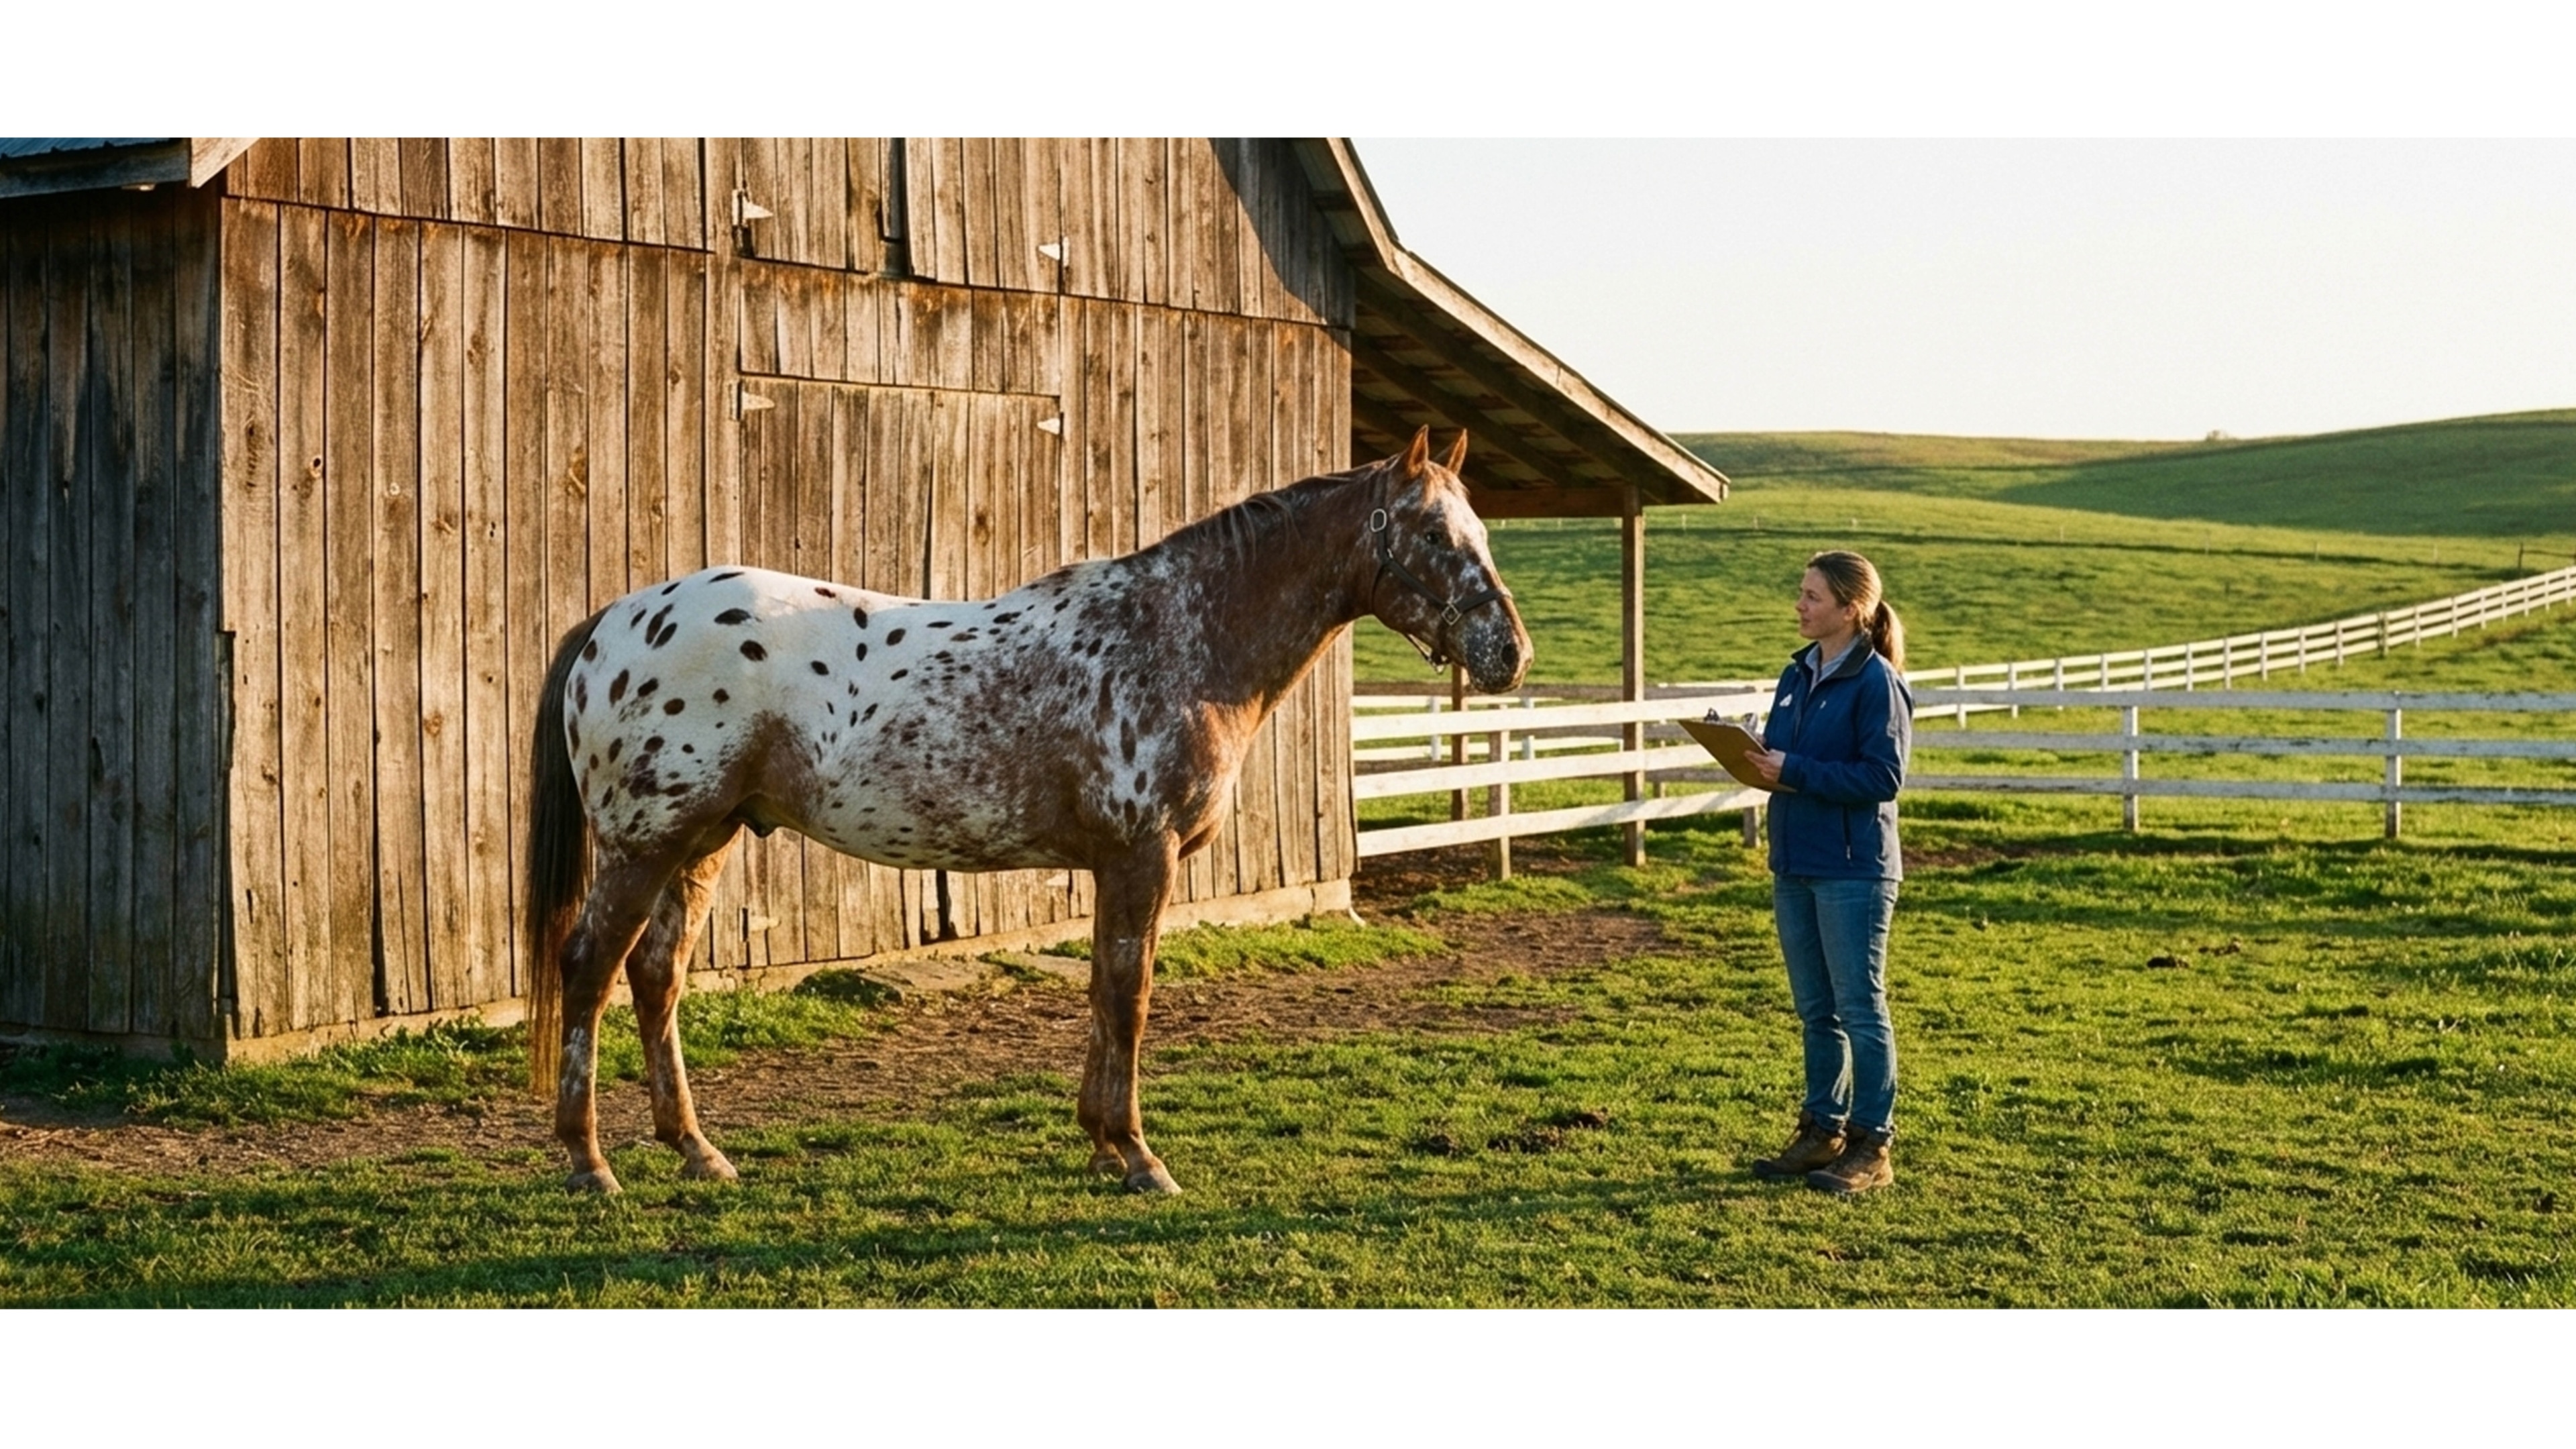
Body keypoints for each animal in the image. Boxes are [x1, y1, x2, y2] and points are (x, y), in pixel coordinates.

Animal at [520, 427, 1531, 1195]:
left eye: (1480, 528)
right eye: (1432, 533)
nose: (1509, 652)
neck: (1179, 639)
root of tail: (615, 621)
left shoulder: (1119, 865)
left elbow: (1105, 995)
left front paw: (1102, 1143)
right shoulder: (1141, 858)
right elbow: (1128, 997)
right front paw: (1138, 1157)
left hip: (702, 842)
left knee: (656, 979)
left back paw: (696, 1151)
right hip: (644, 848)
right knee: (588, 971)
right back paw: (589, 1165)